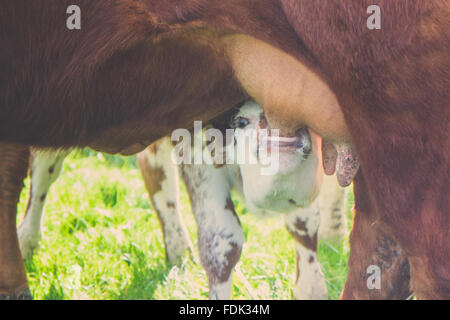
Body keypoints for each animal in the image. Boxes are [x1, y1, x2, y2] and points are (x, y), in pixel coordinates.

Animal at [0, 0, 450, 300]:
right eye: (242, 121)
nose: (277, 130)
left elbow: (305, 229)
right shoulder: (194, 128)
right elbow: (221, 241)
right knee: (48, 169)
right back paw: (31, 242)